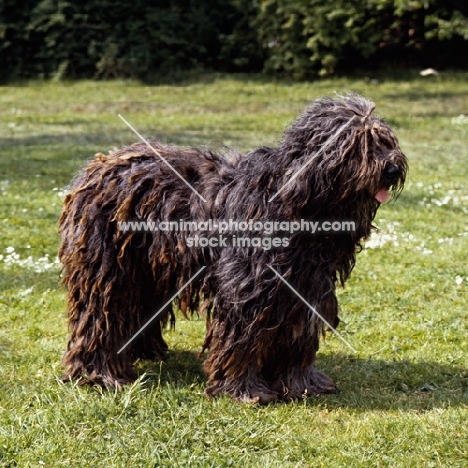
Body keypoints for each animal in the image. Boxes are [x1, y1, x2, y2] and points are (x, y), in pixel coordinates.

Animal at [60, 94, 408, 402]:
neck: (296, 201)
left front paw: (301, 384)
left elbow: (298, 339)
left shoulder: (305, 285)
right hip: (108, 270)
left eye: (385, 140)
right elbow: (242, 337)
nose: (392, 168)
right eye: (359, 145)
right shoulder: (247, 286)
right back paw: (100, 373)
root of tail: (97, 167)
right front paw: (245, 390)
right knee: (99, 315)